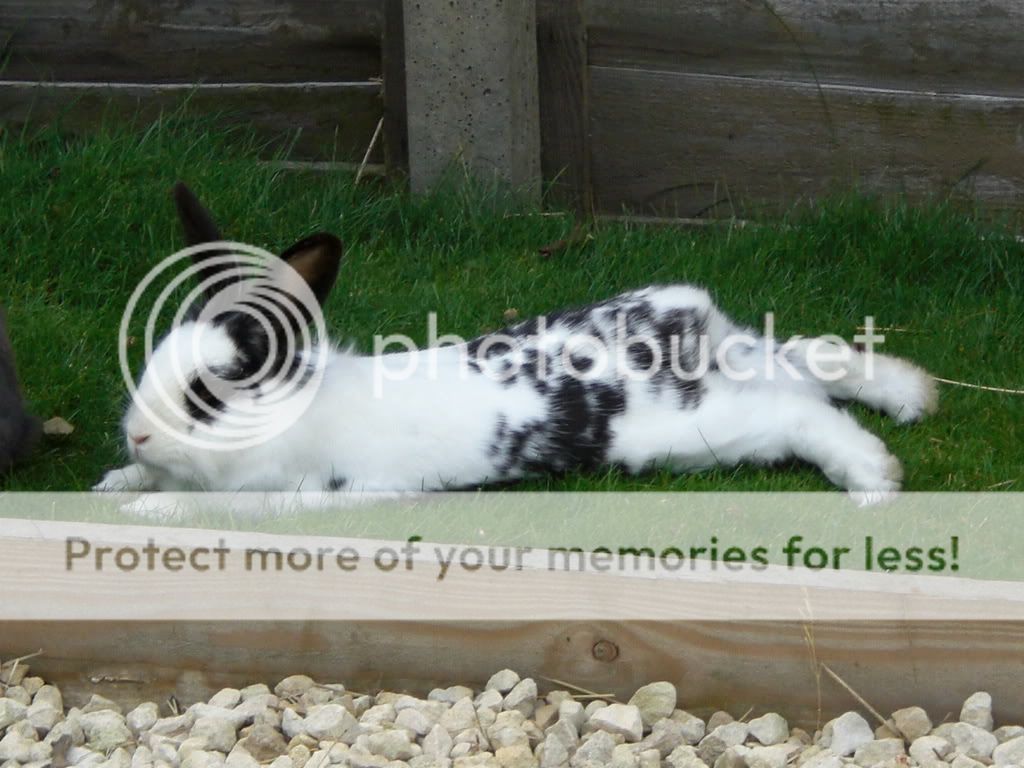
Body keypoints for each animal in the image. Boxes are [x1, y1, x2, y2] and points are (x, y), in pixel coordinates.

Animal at [94, 183, 938, 495]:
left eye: (207, 397)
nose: (136, 436)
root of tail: (688, 329)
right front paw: (115, 482)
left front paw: (139, 505)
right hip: (747, 363)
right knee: (807, 361)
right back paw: (913, 394)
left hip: (704, 431)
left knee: (799, 415)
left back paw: (874, 475)